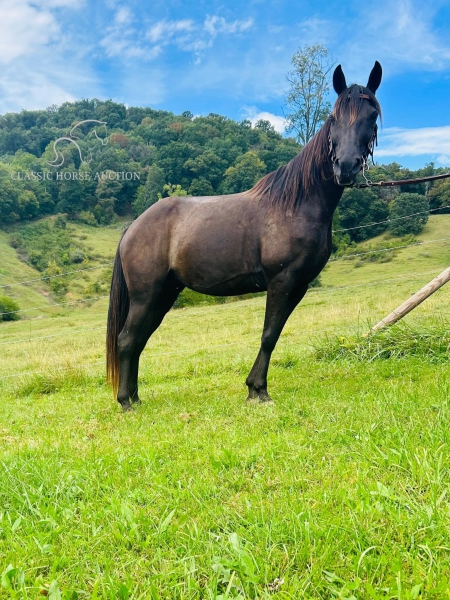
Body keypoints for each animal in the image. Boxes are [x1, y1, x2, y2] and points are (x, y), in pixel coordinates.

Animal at [106, 61, 384, 410]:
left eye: (371, 115)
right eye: (334, 116)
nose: (345, 167)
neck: (296, 204)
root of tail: (133, 227)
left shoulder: (299, 286)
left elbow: (274, 334)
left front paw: (255, 387)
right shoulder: (280, 282)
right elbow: (267, 335)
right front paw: (258, 391)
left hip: (164, 295)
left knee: (140, 340)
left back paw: (136, 397)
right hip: (146, 296)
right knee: (127, 340)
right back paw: (125, 402)